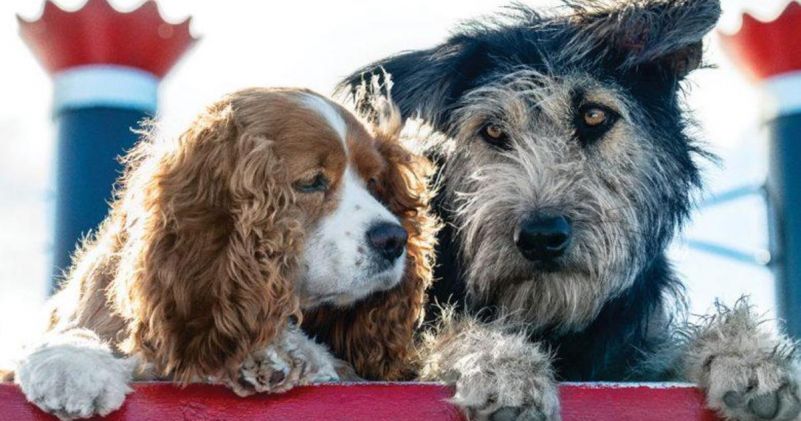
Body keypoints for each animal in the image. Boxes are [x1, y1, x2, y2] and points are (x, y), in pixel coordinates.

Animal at [3, 87, 434, 418]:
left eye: (375, 183)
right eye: (312, 182)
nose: (394, 239)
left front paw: (279, 353)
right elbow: (70, 332)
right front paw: (70, 364)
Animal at [346, 0, 800, 420]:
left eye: (594, 116)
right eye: (492, 129)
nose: (541, 236)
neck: (551, 320)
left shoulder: (630, 359)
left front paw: (748, 356)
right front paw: (498, 363)